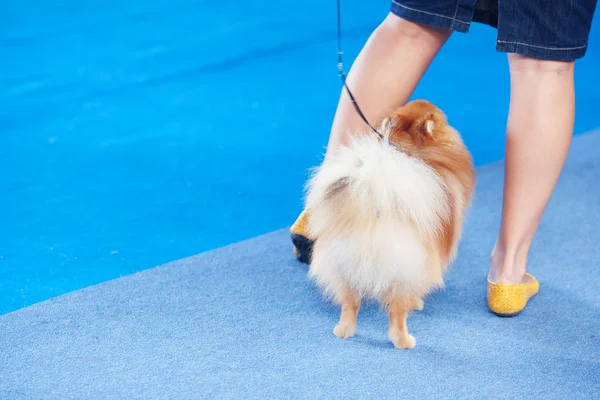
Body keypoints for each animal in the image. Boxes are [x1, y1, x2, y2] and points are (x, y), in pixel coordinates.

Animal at [304, 99, 474, 346]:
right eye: (443, 120)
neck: (412, 150)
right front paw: (418, 303)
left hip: (342, 267)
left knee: (350, 303)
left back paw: (344, 330)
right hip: (404, 270)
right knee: (397, 312)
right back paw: (404, 341)